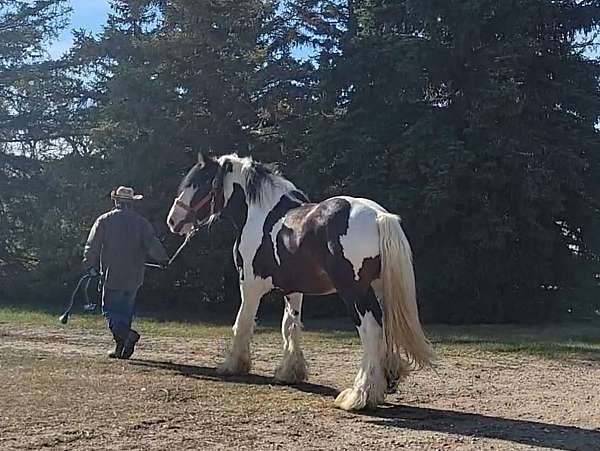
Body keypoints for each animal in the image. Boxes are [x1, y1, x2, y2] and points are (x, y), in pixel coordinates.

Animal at [166, 153, 434, 414]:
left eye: (199, 184)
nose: (173, 220)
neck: (259, 214)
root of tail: (379, 217)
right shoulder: (293, 290)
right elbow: (290, 326)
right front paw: (290, 371)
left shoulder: (250, 285)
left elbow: (242, 324)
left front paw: (234, 365)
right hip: (379, 289)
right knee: (385, 327)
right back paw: (384, 381)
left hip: (355, 293)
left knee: (371, 330)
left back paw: (360, 395)